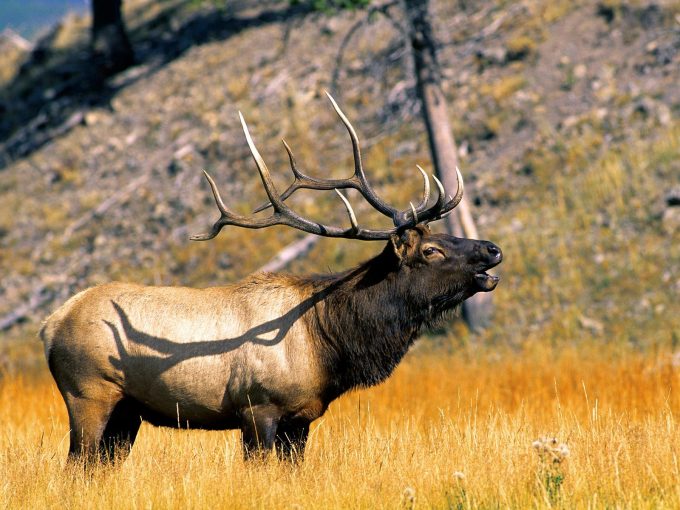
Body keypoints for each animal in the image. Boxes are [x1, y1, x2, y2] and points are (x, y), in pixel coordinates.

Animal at [41, 93, 500, 464]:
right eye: (431, 250)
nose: (493, 249)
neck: (327, 343)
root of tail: (50, 324)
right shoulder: (257, 407)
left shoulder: (302, 418)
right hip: (88, 393)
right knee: (77, 464)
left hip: (127, 411)